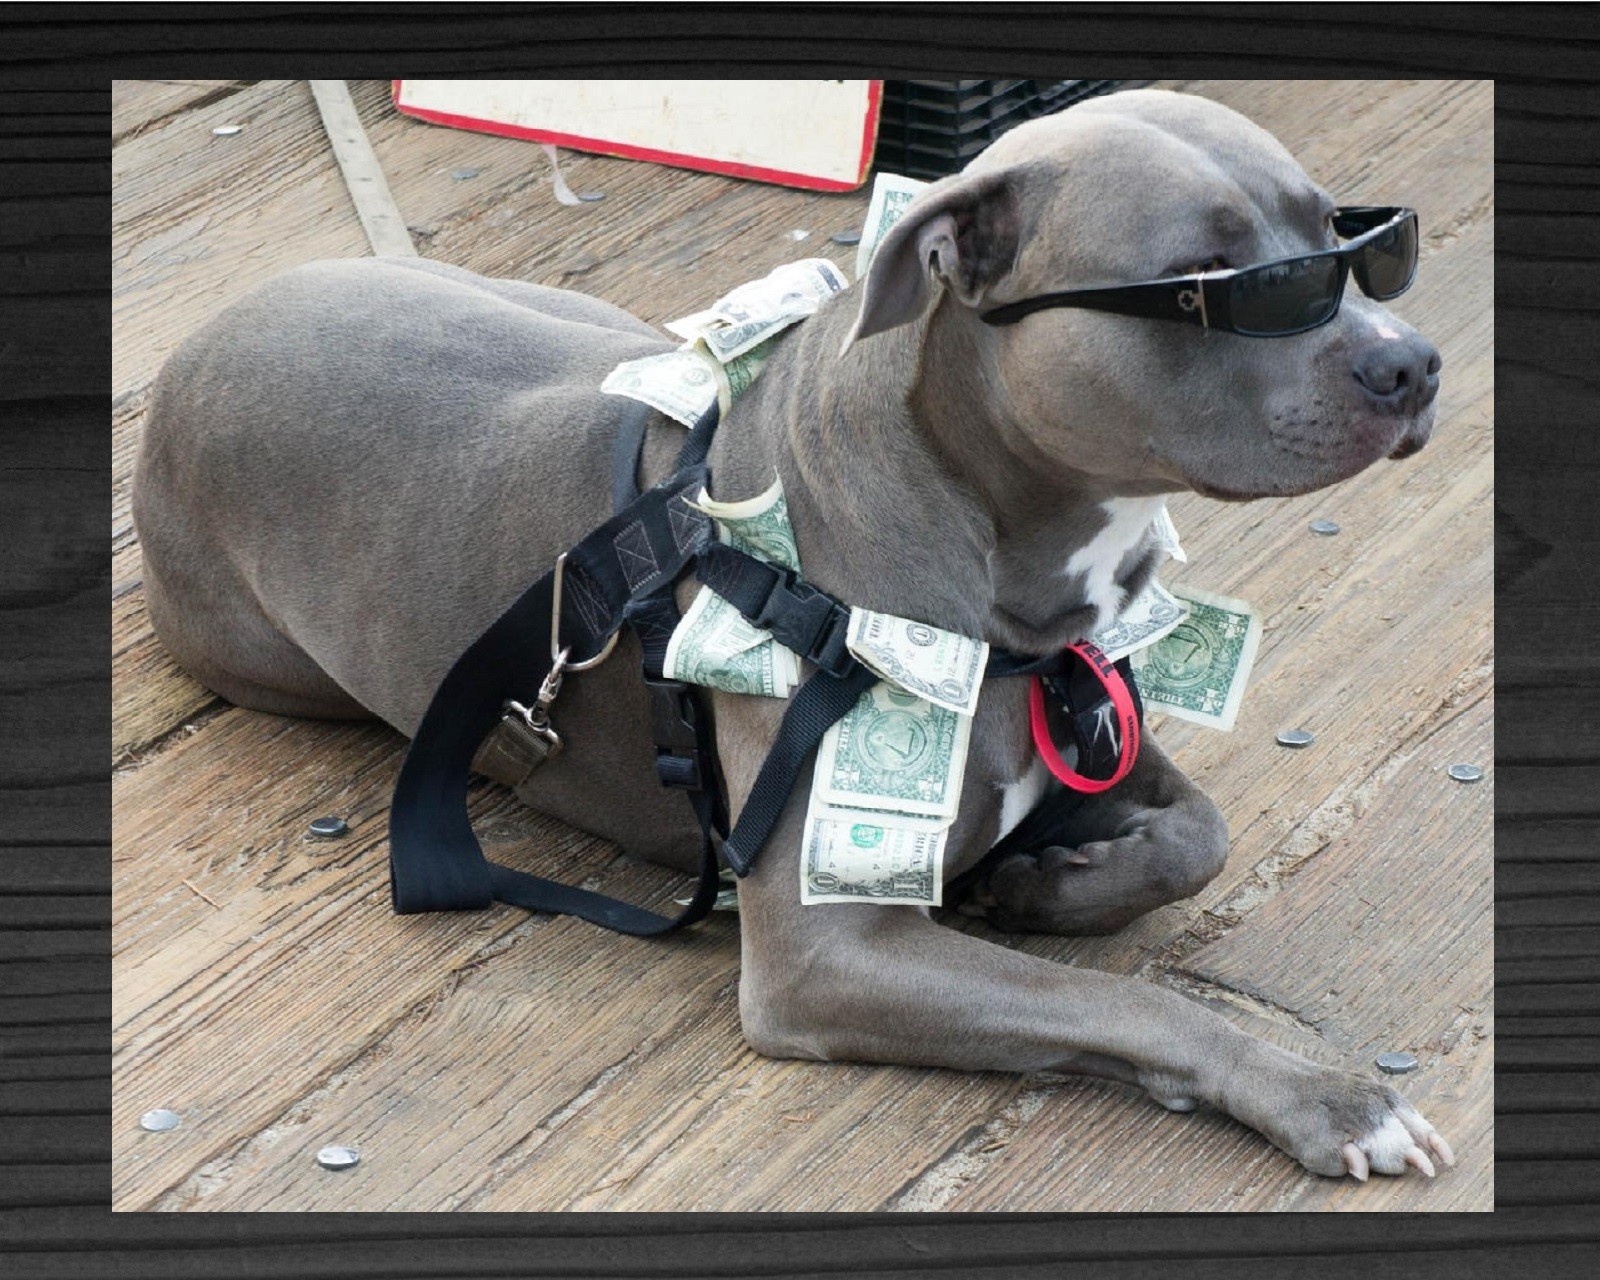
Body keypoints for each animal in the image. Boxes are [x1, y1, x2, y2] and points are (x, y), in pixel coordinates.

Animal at [137, 90, 1459, 1177]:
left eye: (1345, 241)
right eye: (1211, 277)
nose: (1413, 362)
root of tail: (195, 345)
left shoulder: (1089, 725)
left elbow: (1201, 832)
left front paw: (1049, 884)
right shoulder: (829, 957)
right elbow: (1135, 1005)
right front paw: (1329, 1098)